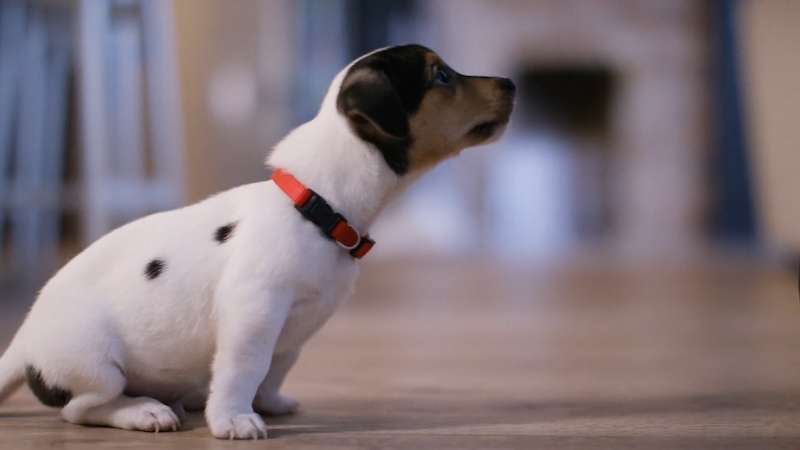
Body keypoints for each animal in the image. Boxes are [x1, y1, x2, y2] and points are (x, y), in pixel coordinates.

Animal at [0, 44, 516, 438]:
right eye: (442, 76)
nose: (511, 83)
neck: (319, 204)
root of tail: (23, 342)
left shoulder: (295, 331)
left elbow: (274, 368)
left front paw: (267, 402)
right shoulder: (254, 312)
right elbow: (243, 369)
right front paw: (233, 417)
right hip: (93, 363)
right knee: (82, 408)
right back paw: (143, 410)